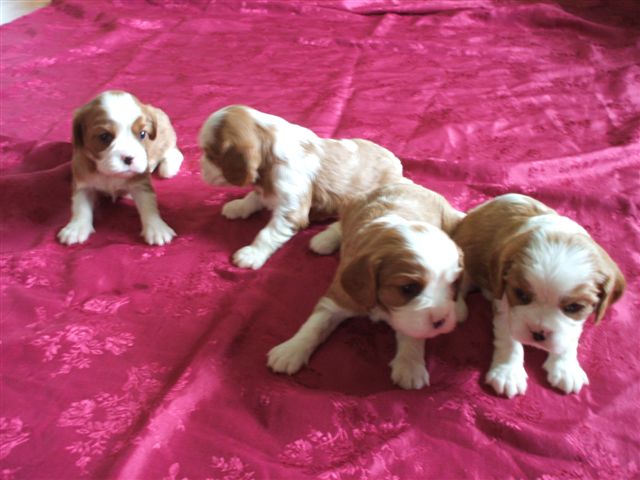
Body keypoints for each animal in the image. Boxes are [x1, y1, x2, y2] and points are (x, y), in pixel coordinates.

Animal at [57, 90, 184, 246]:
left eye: (142, 134)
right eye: (104, 137)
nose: (129, 158)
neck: (109, 173)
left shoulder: (141, 183)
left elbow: (149, 205)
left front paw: (156, 228)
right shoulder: (83, 182)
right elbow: (80, 206)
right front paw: (76, 227)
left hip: (164, 140)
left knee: (174, 151)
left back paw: (169, 167)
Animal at [198, 105, 402, 270]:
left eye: (210, 155)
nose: (200, 168)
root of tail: (398, 167)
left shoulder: (291, 208)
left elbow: (267, 233)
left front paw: (251, 254)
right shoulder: (266, 187)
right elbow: (253, 197)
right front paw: (237, 206)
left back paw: (323, 240)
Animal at [264, 183, 464, 390]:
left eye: (453, 284)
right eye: (409, 288)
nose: (441, 321)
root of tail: (408, 184)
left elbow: (413, 332)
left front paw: (410, 364)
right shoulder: (339, 297)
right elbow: (315, 326)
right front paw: (291, 350)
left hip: (449, 219)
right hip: (352, 206)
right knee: (340, 224)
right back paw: (325, 239)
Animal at [452, 192, 628, 398]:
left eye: (574, 307)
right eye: (521, 294)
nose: (538, 333)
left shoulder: (577, 319)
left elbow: (570, 336)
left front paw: (566, 368)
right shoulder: (505, 305)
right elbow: (510, 338)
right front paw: (508, 373)